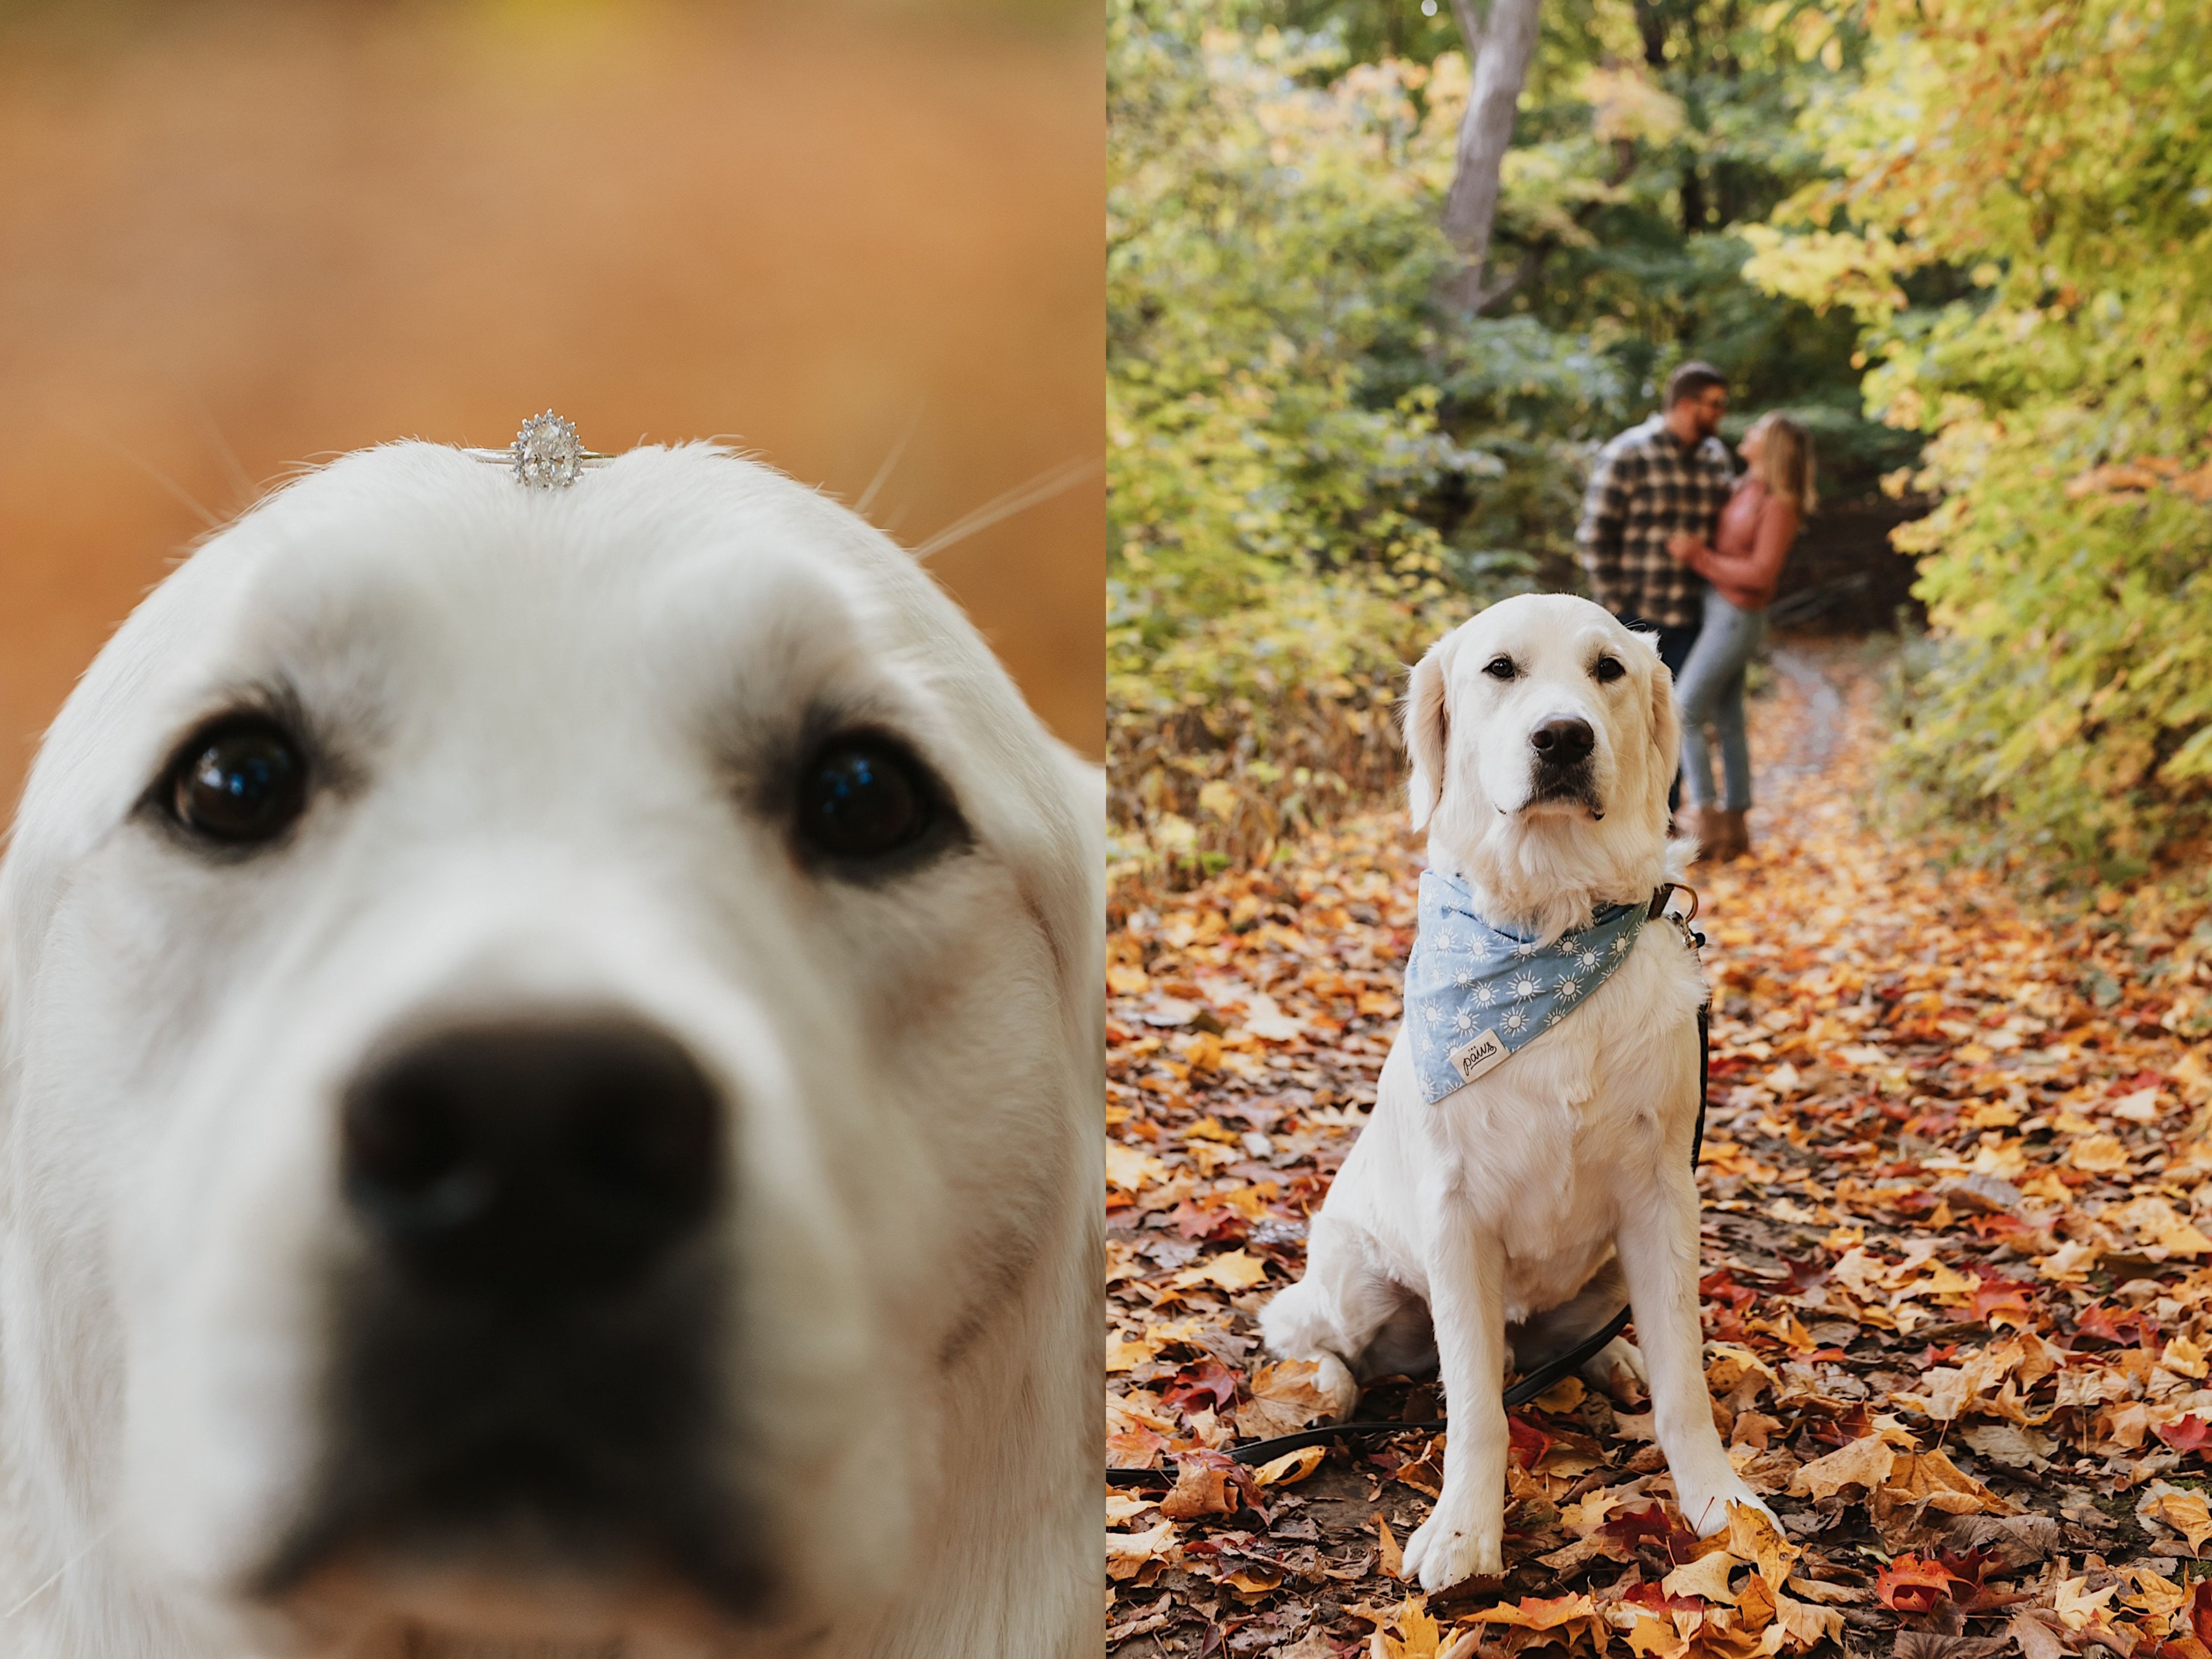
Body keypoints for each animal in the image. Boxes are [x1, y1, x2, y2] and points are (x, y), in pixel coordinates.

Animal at [1274, 593, 1770, 1601]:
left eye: (1608, 669)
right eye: (1499, 669)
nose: (1564, 737)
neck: (1550, 930)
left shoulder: (1664, 1196)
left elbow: (1687, 1380)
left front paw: (1718, 1499)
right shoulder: (1455, 1213)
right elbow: (1475, 1405)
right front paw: (1465, 1531)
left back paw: (1615, 1358)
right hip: (1353, 1275)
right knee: (1318, 1336)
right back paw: (1324, 1388)